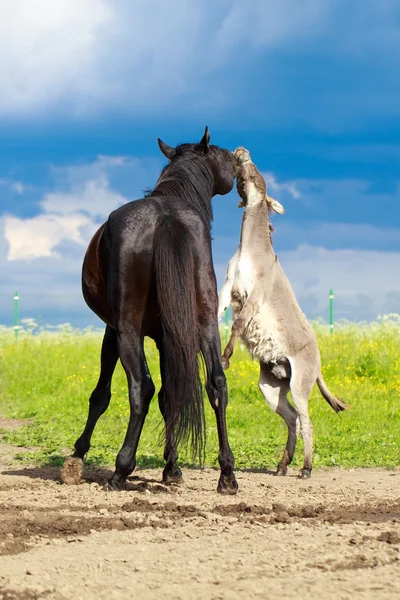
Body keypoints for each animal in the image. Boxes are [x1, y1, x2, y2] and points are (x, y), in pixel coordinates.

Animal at [61, 125, 239, 492]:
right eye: (224, 154)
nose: (238, 161)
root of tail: (166, 218)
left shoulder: (113, 330)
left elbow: (102, 394)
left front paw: (78, 454)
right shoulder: (168, 337)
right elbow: (172, 396)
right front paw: (172, 467)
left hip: (127, 331)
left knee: (141, 388)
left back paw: (120, 469)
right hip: (203, 324)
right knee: (216, 383)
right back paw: (227, 474)